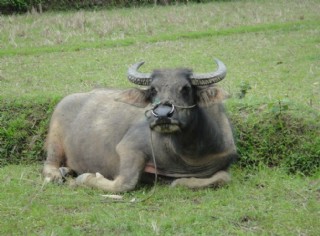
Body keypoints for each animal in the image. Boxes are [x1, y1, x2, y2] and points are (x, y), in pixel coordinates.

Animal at [43, 58, 238, 192]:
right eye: (153, 90)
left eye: (186, 88)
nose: (163, 114)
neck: (188, 154)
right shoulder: (129, 147)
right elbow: (125, 183)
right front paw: (84, 177)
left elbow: (223, 177)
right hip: (54, 140)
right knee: (49, 163)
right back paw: (57, 174)